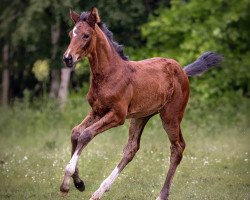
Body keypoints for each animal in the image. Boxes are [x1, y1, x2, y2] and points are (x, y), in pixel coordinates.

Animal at [60, 7, 223, 200]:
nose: (68, 58)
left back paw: (161, 195)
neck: (110, 74)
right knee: (131, 148)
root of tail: (183, 71)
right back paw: (99, 191)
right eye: (70, 34)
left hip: (170, 115)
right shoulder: (97, 111)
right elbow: (75, 132)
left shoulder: (117, 115)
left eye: (86, 35)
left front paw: (68, 179)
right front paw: (76, 183)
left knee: (177, 147)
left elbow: (86, 134)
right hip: (141, 116)